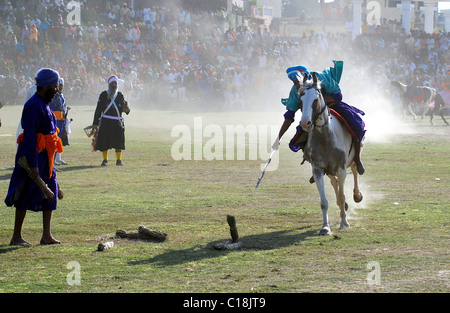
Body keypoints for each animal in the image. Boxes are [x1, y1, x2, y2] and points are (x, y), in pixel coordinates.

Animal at [298, 73, 364, 234]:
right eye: (300, 99)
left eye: (316, 98)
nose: (305, 123)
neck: (326, 138)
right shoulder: (317, 170)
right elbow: (324, 202)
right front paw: (325, 227)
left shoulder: (341, 168)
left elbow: (342, 196)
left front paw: (344, 223)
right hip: (328, 170)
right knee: (334, 182)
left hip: (351, 160)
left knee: (354, 169)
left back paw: (357, 195)